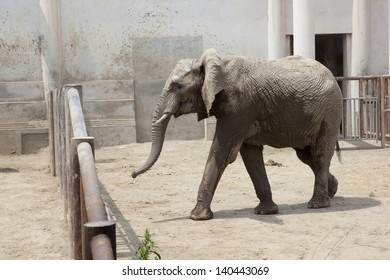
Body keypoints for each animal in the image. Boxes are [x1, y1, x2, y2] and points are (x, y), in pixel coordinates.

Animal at [132, 48, 342, 221]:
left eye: (177, 86)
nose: (132, 174)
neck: (215, 65)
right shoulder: (242, 113)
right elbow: (250, 157)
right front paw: (265, 212)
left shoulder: (238, 108)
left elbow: (221, 152)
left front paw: (196, 217)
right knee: (307, 156)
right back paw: (332, 190)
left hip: (330, 113)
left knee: (319, 155)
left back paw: (317, 204)